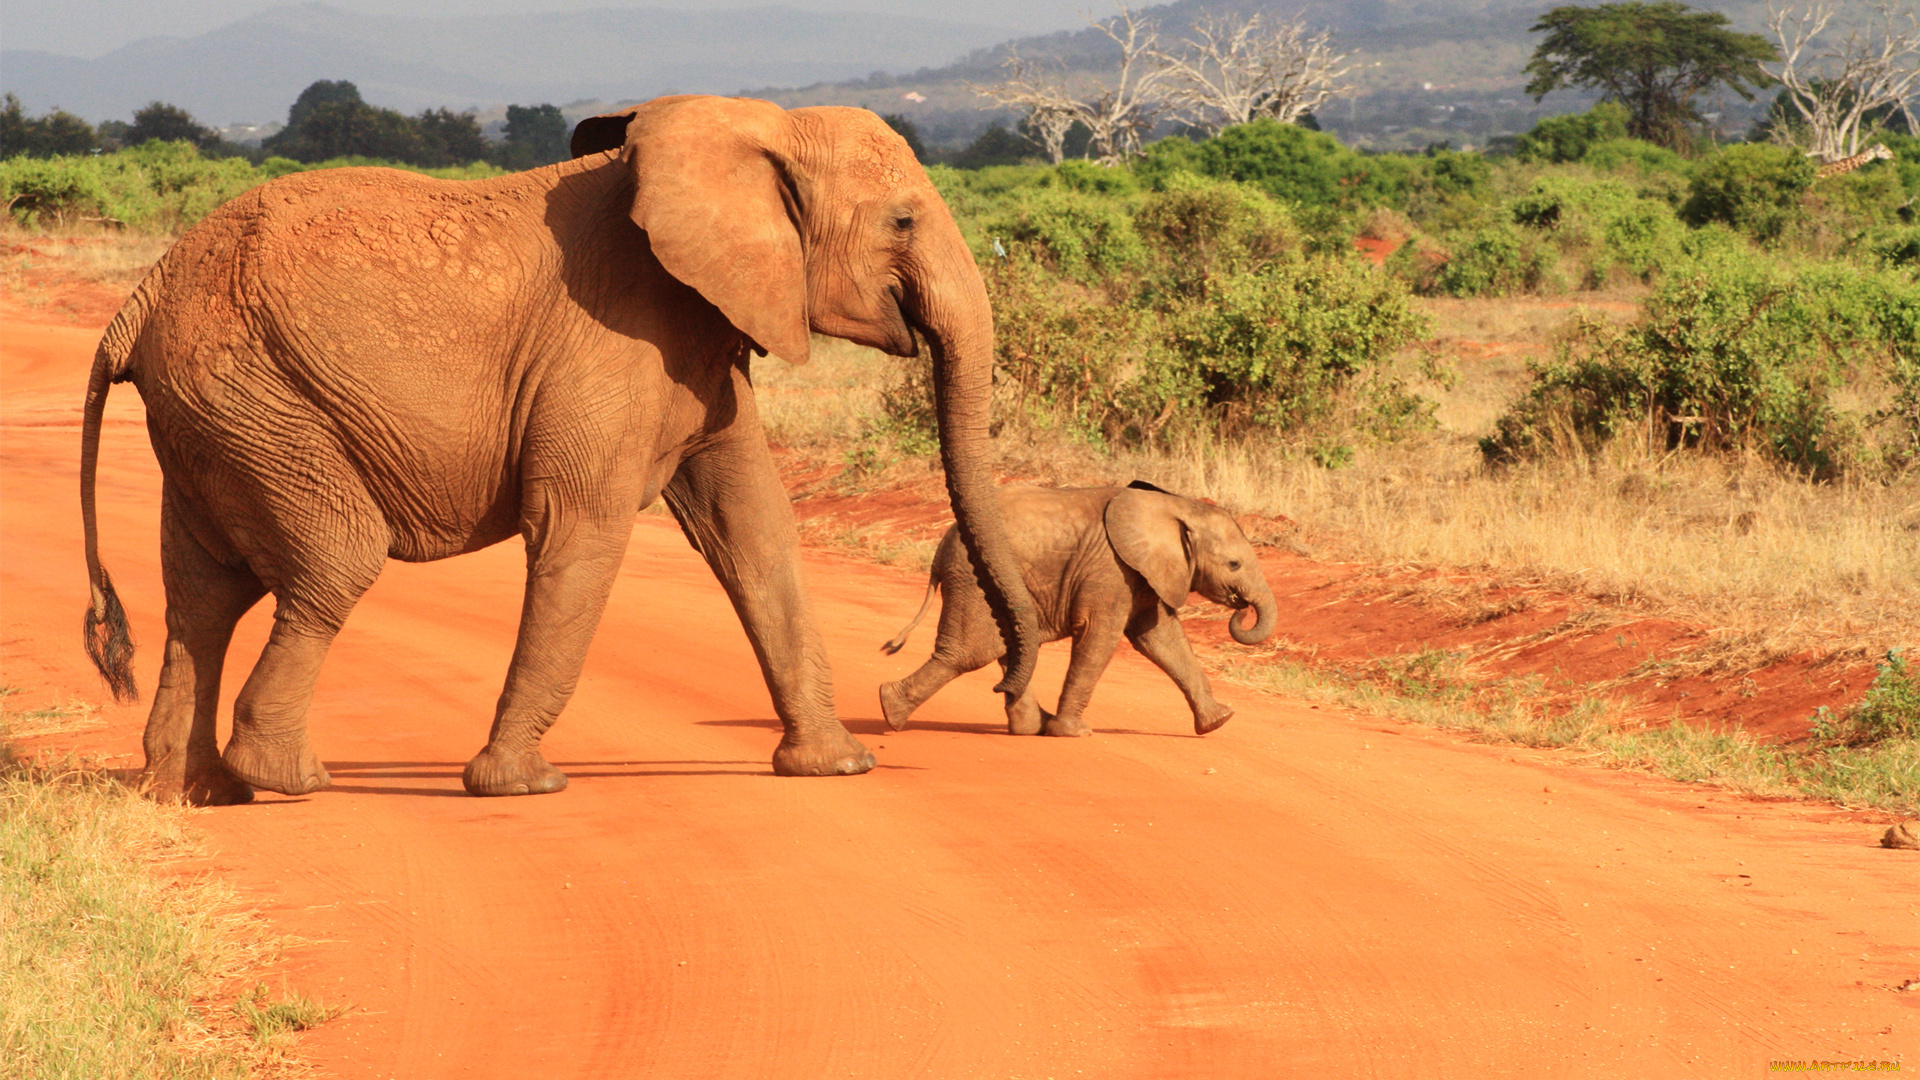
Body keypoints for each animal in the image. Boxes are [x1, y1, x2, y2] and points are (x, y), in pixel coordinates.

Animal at [78, 94, 1036, 799]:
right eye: (903, 222)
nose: (1011, 702)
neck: (755, 128)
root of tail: (140, 299)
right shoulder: (613, 337)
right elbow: (581, 528)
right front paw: (522, 786)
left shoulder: (699, 339)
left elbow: (754, 530)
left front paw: (836, 768)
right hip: (256, 397)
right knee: (334, 559)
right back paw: (286, 778)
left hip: (216, 418)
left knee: (205, 592)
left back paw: (194, 791)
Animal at [879, 484, 1274, 734]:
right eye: (1234, 565)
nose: (1241, 608)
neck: (1173, 506)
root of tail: (939, 549)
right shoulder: (1111, 570)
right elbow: (1101, 635)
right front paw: (1073, 732)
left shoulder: (1143, 575)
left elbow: (1161, 638)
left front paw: (1219, 720)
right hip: (973, 581)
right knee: (966, 653)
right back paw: (890, 709)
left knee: (1008, 645)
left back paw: (1030, 727)